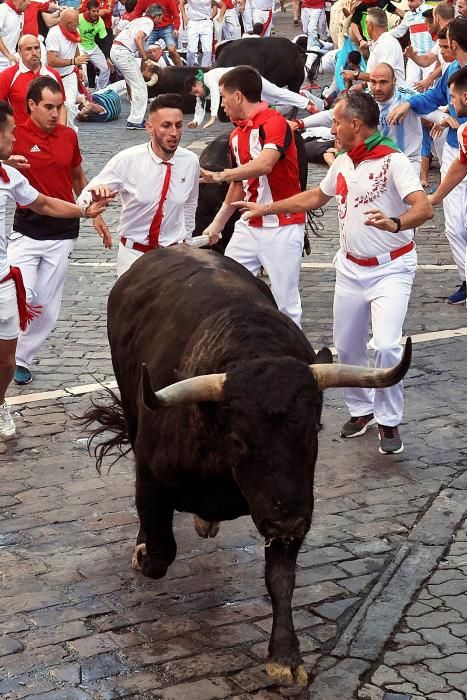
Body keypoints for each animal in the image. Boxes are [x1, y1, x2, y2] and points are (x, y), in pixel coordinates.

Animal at [85, 247, 414, 688]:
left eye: (313, 430)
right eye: (239, 439)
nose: (287, 522)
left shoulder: (292, 501)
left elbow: (281, 579)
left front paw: (285, 656)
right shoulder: (151, 478)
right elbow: (159, 550)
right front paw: (143, 552)